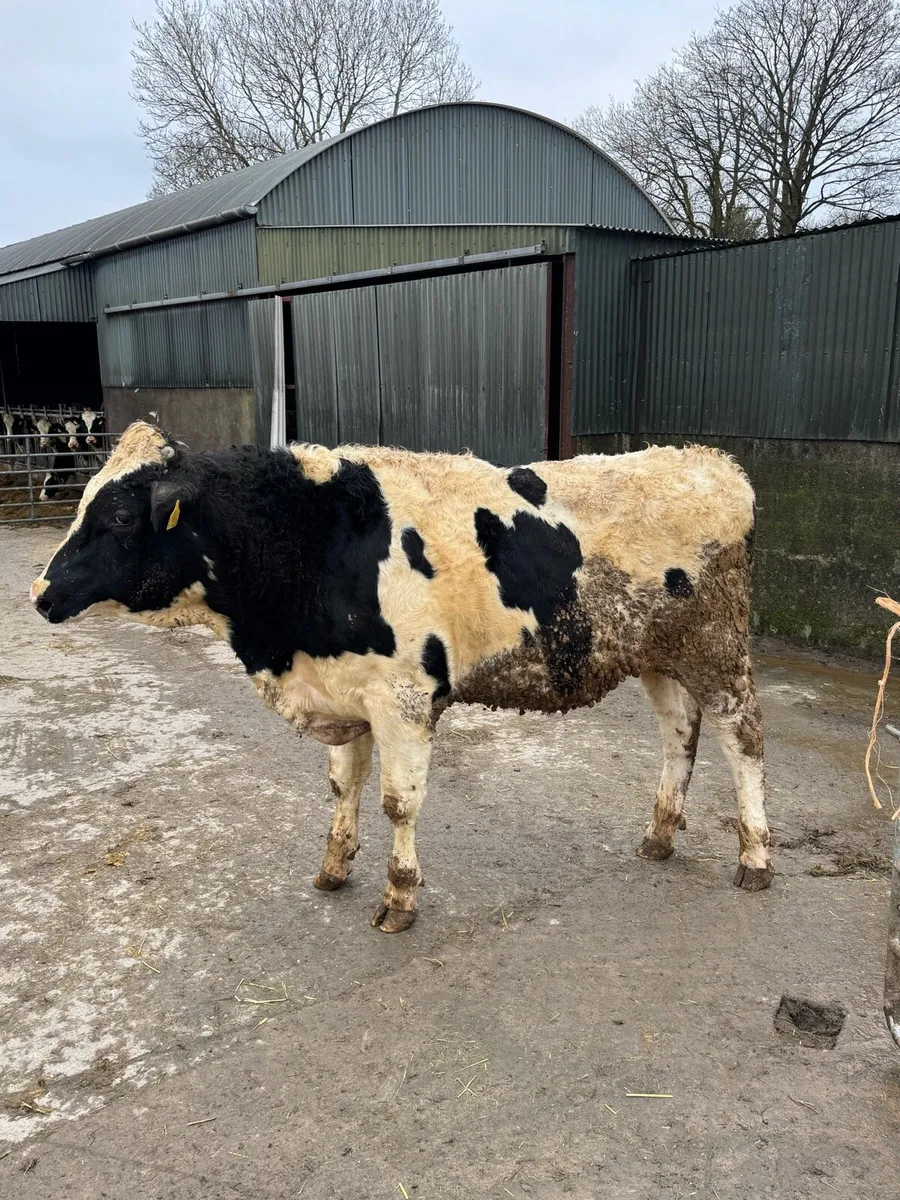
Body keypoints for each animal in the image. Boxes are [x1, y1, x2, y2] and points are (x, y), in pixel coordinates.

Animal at [30, 421, 773, 932]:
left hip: (716, 649)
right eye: (85, 502)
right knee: (678, 734)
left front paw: (399, 895)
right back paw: (659, 835)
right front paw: (334, 867)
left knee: (743, 741)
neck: (310, 538)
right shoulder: (343, 688)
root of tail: (706, 459)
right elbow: (343, 786)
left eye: (120, 514)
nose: (40, 593)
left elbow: (398, 802)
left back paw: (756, 858)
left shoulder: (403, 698)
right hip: (658, 655)